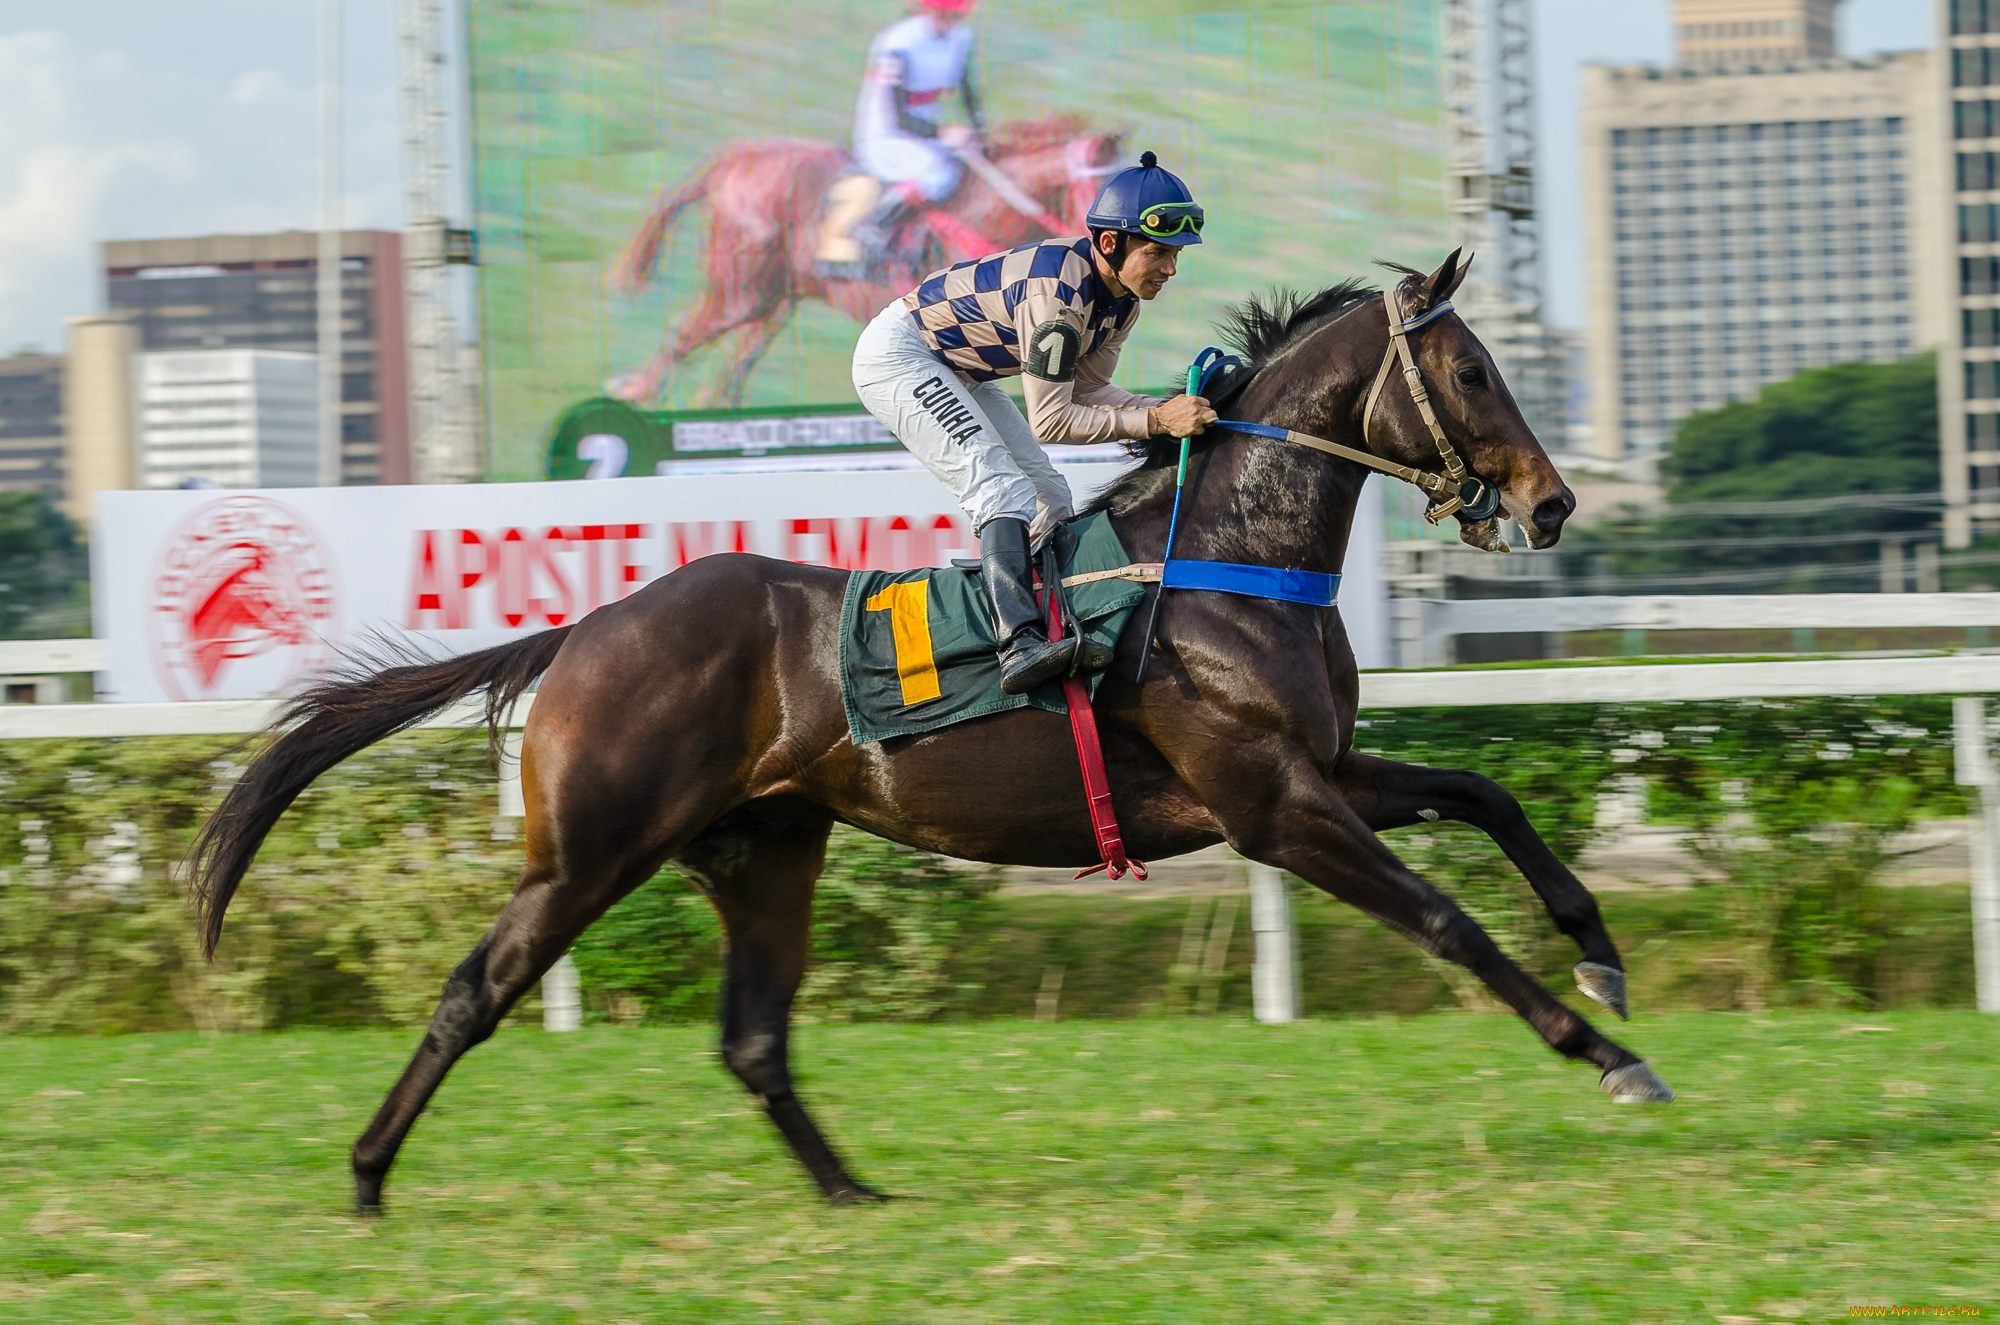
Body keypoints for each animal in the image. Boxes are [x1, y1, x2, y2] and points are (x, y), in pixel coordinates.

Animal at [189, 249, 1670, 1214]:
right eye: (1470, 369)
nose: (1548, 505)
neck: (1223, 559)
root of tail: (588, 626)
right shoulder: (1271, 803)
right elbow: (1445, 918)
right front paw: (1608, 1056)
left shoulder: (1325, 769)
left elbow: (1487, 793)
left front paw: (1601, 958)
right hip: (589, 853)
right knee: (472, 992)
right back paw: (367, 1175)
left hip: (765, 848)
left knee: (752, 1038)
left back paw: (850, 1188)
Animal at [602, 115, 1122, 406]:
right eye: (1109, 187)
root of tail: (739, 156)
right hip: (743, 290)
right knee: (686, 335)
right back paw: (634, 392)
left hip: (777, 298)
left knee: (732, 369)